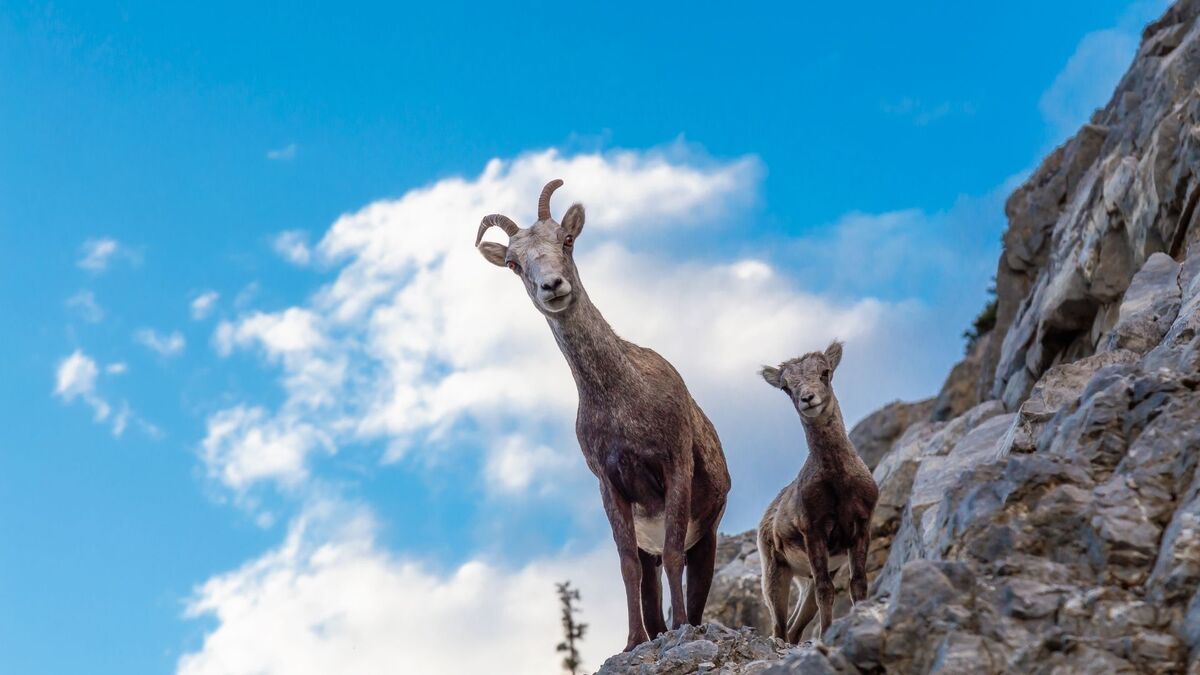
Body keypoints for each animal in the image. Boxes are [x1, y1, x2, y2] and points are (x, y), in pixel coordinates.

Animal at [477, 181, 729, 648]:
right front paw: (633, 642)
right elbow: (627, 566)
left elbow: (672, 554)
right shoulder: (611, 487)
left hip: (707, 538)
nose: (552, 286)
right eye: (513, 264)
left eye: (566, 240)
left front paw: (682, 629)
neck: (622, 402)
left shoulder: (675, 468)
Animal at [758, 338, 883, 638]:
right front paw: (826, 633)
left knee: (794, 629)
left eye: (825, 372)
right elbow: (827, 591)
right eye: (786, 386)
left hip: (804, 582)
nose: (808, 399)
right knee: (780, 629)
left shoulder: (861, 527)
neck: (839, 484)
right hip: (775, 574)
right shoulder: (813, 531)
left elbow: (858, 583)